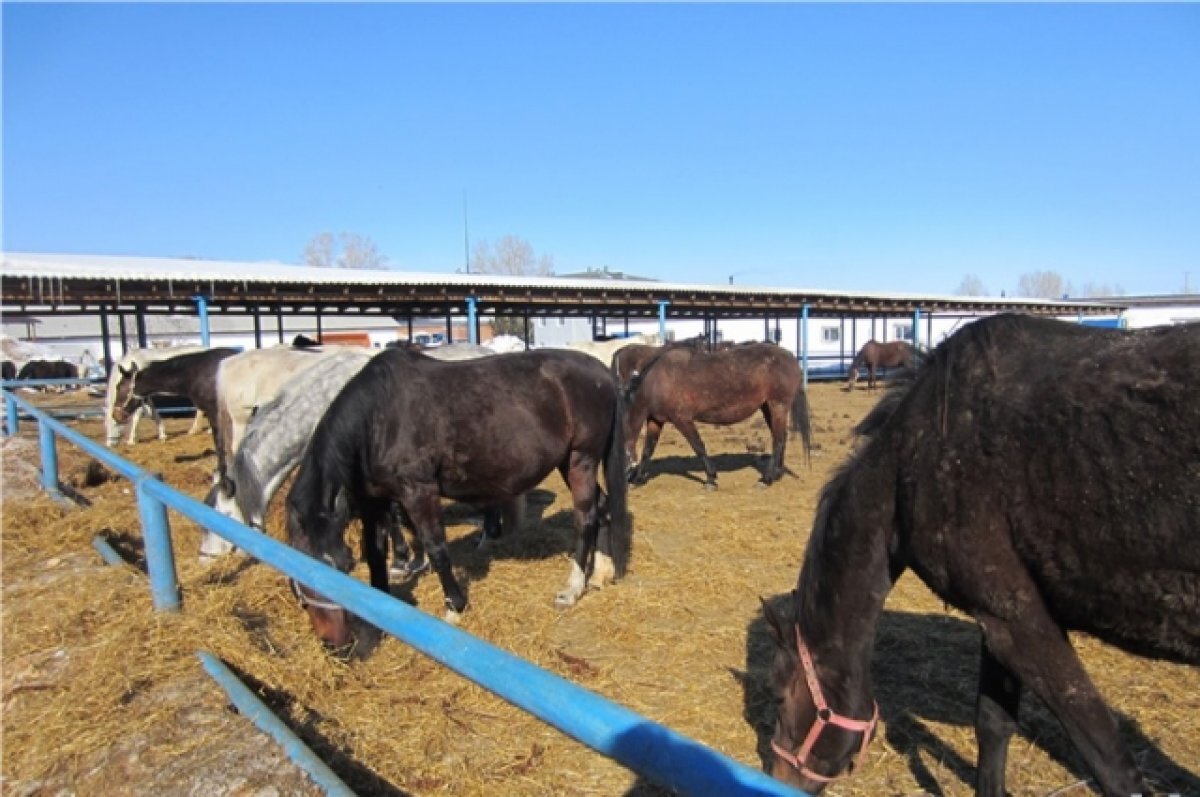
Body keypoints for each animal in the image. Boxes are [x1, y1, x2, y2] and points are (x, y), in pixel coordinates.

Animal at [619, 343, 816, 489]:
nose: (625, 480)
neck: (657, 381)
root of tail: (790, 357)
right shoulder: (655, 420)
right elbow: (647, 451)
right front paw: (637, 479)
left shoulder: (682, 419)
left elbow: (698, 446)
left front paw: (711, 479)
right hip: (768, 407)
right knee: (781, 437)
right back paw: (777, 474)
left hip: (778, 406)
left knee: (778, 441)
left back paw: (766, 480)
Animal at [768, 316, 1200, 797]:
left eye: (780, 696)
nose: (775, 775)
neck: (919, 454)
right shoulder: (1000, 620)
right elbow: (993, 725)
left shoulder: (1026, 628)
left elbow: (1113, 765)